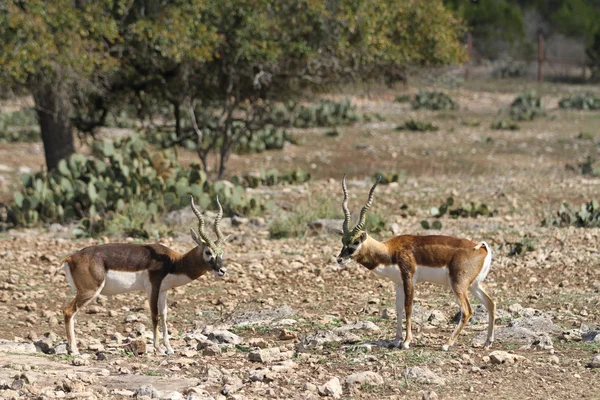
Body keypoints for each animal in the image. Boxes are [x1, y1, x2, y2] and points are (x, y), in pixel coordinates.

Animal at [59, 195, 227, 354]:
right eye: (208, 252)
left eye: (221, 252)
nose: (222, 271)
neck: (173, 262)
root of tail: (71, 258)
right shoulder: (152, 287)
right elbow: (154, 314)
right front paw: (159, 349)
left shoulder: (163, 291)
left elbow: (164, 315)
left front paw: (169, 348)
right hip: (90, 291)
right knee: (68, 311)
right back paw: (74, 351)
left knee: (72, 314)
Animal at [336, 177, 494, 350]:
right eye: (343, 240)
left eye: (356, 242)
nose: (340, 259)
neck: (390, 251)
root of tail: (481, 247)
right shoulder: (398, 282)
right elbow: (398, 308)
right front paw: (395, 340)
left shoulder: (409, 278)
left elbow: (408, 307)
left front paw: (406, 342)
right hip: (473, 285)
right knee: (490, 303)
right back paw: (487, 343)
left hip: (458, 285)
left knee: (466, 311)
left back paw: (446, 344)